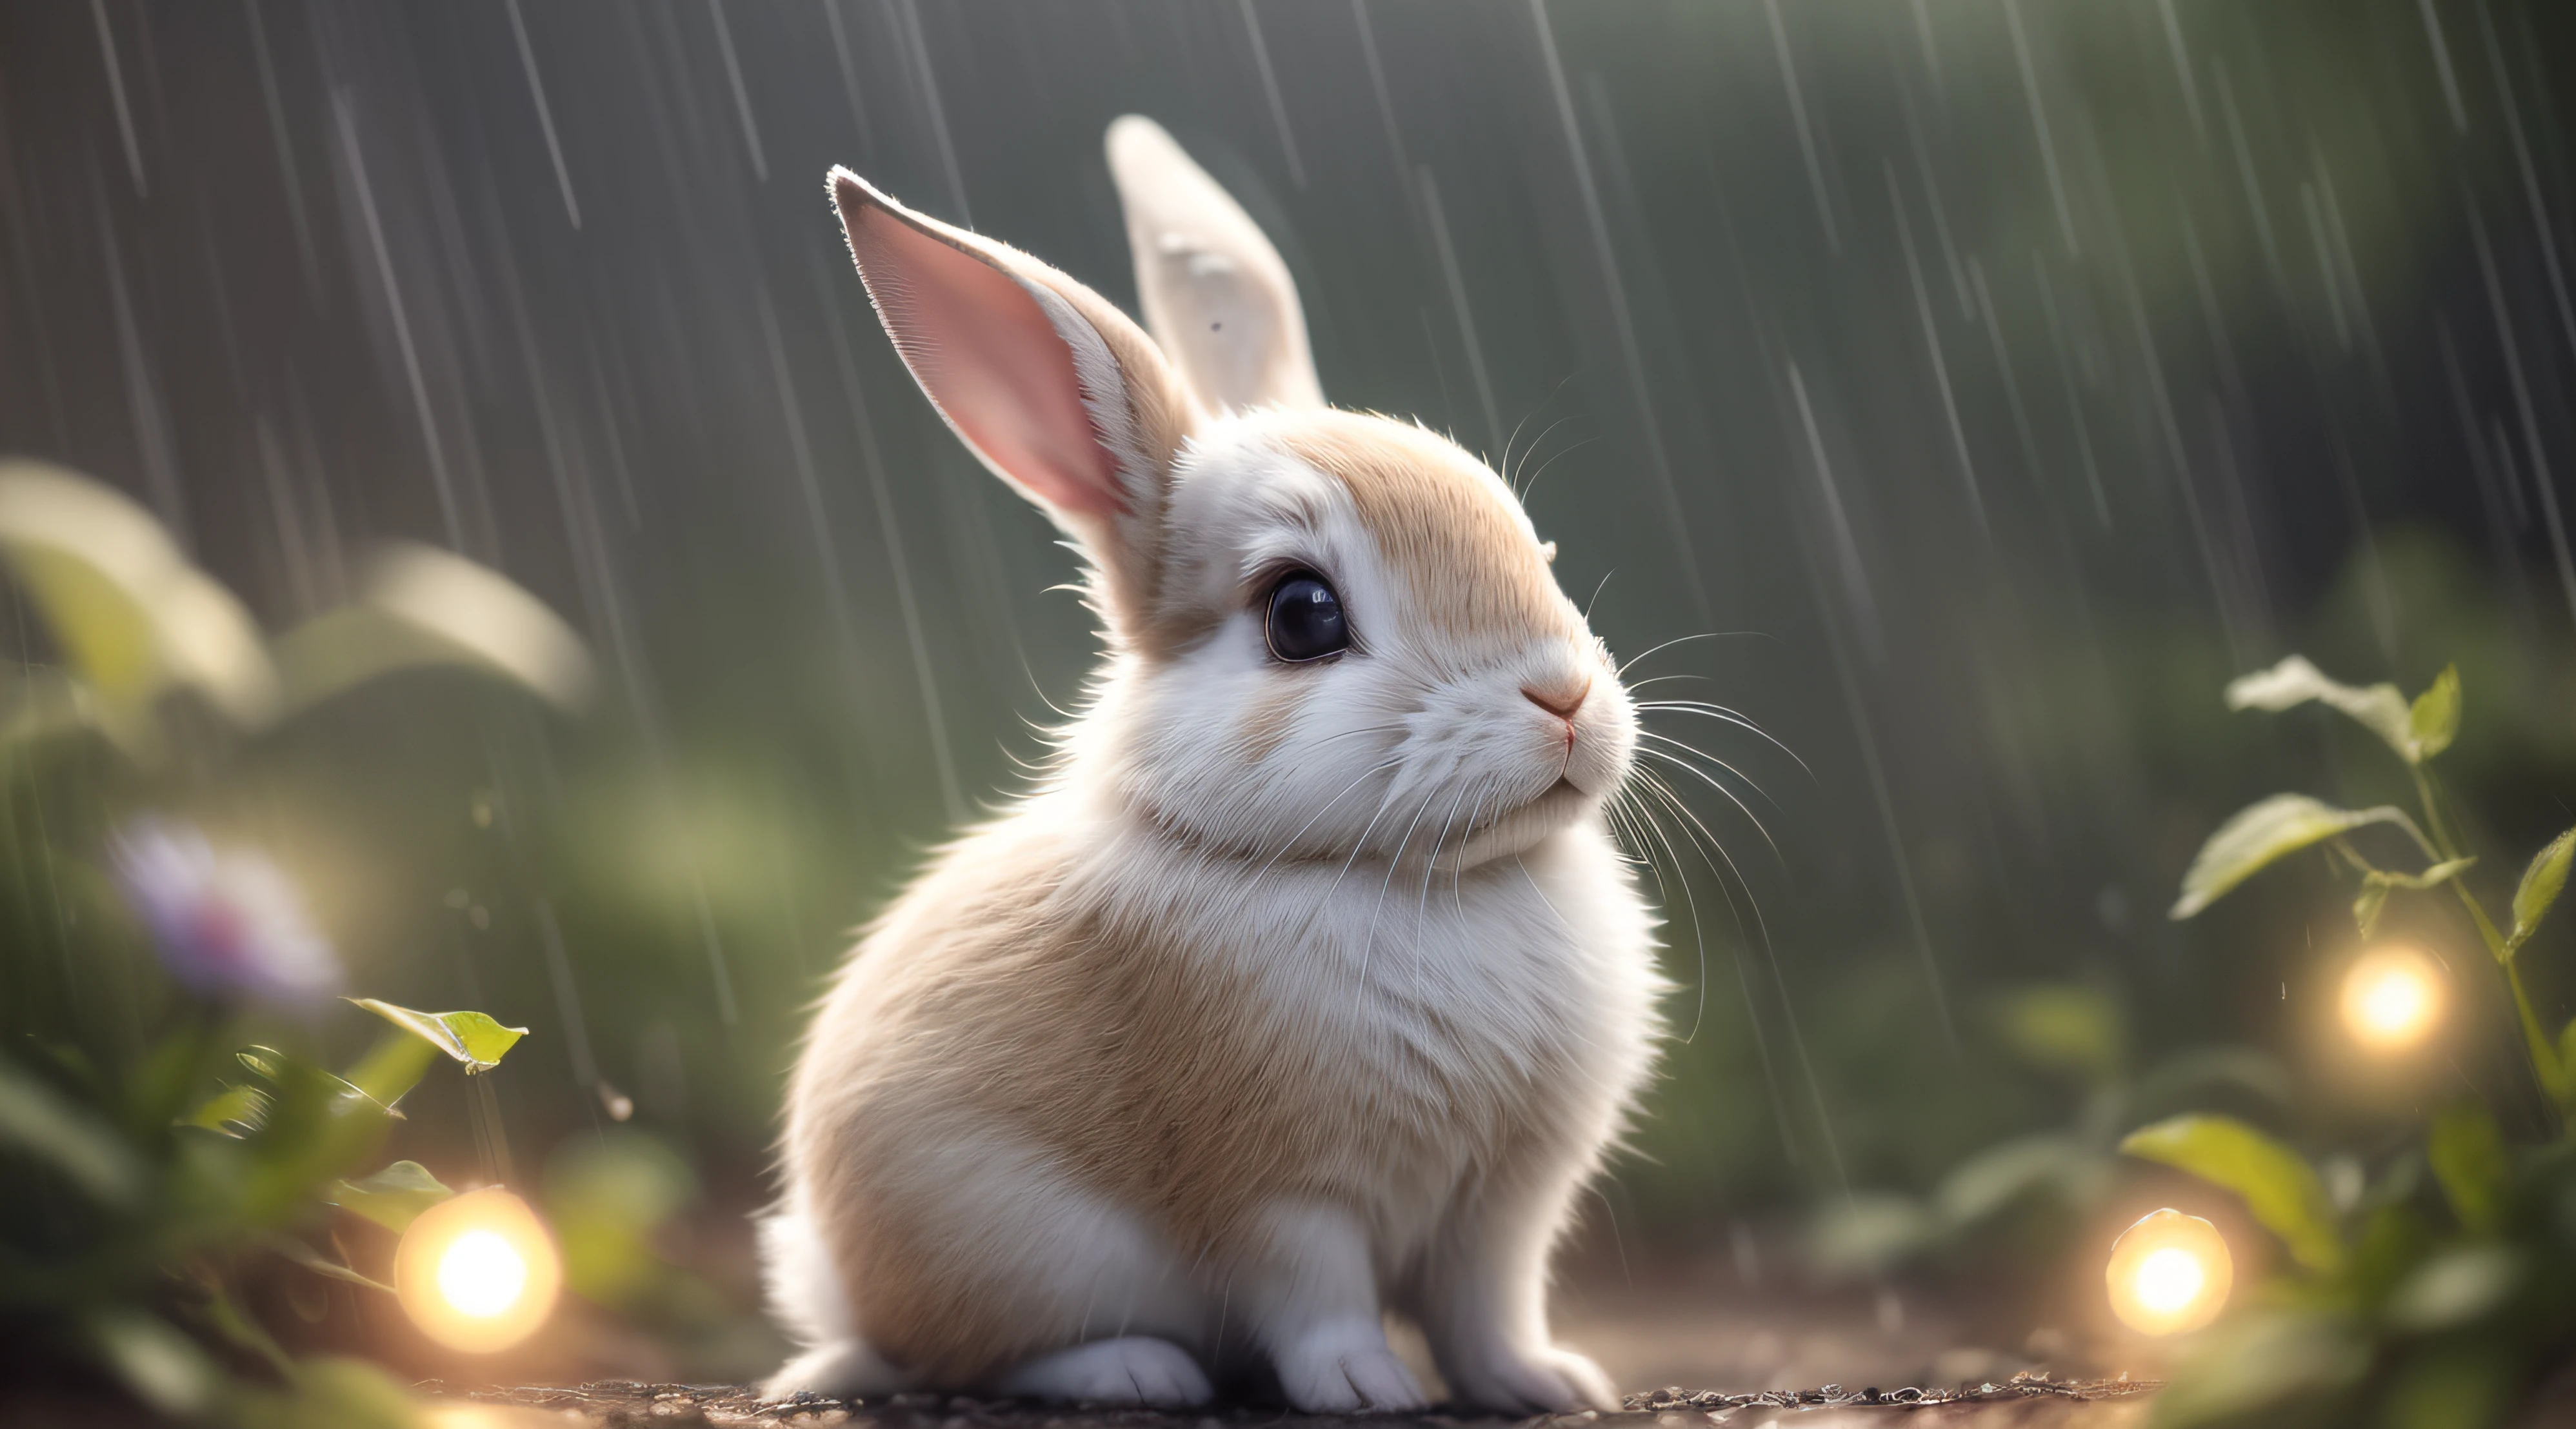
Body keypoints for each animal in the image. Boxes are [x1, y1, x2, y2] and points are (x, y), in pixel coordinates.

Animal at [752, 117, 1659, 1411]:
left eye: (1533, 543)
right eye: (1301, 614)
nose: (1565, 700)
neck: (1438, 879)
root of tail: (833, 1289)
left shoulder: (1501, 1206)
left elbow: (1487, 1309)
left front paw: (1547, 1382)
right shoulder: (1281, 1193)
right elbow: (1319, 1300)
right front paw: (1368, 1389)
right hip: (1021, 1248)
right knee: (967, 1351)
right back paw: (1140, 1372)